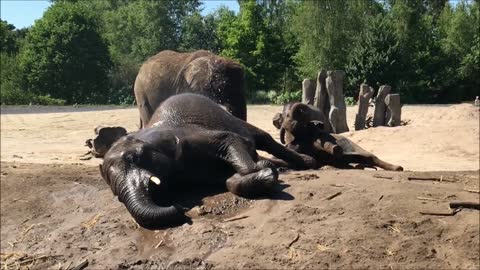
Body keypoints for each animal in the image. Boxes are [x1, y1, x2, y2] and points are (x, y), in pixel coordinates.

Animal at [100, 94, 316, 229]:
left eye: (134, 157)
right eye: (113, 190)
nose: (178, 208)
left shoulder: (190, 137)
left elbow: (230, 139)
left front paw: (262, 169)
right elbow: (228, 181)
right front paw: (265, 174)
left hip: (234, 119)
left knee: (264, 138)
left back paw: (307, 162)